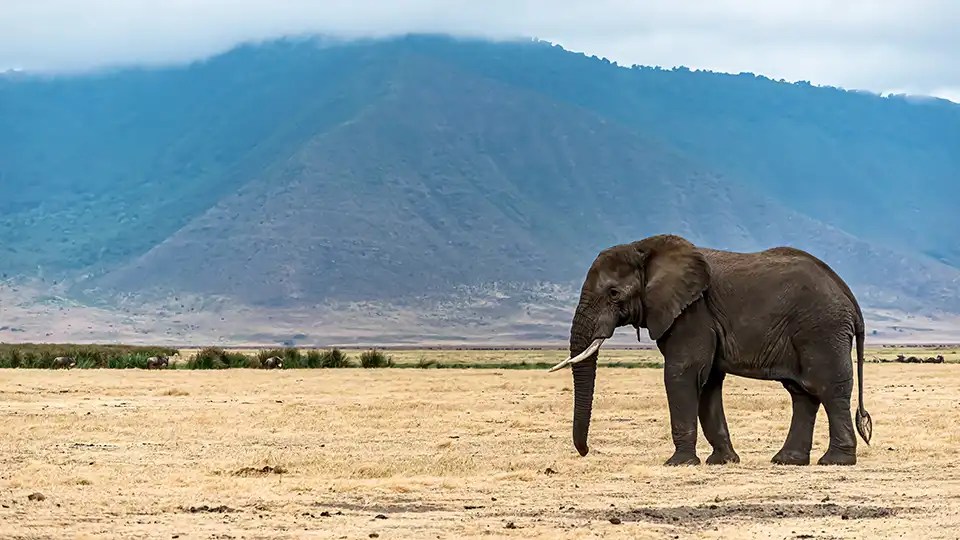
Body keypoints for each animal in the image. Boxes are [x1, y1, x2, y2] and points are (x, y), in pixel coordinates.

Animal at [549, 234, 872, 466]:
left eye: (613, 293)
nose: (585, 451)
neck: (646, 247)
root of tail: (848, 295)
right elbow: (708, 383)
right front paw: (722, 461)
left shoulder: (693, 313)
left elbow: (682, 374)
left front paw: (678, 463)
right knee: (802, 393)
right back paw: (787, 461)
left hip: (822, 330)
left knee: (828, 388)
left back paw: (835, 461)